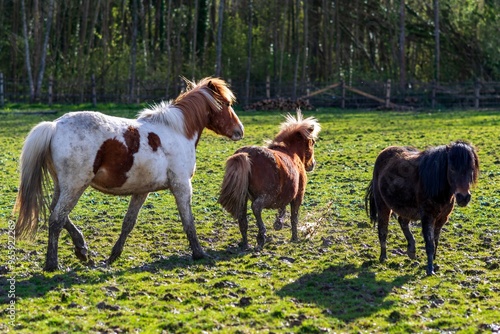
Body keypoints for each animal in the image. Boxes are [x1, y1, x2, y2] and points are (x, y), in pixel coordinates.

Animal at [13, 76, 244, 272]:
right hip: (75, 186)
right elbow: (188, 221)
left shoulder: (142, 191)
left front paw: (113, 255)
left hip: (63, 186)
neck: (177, 131)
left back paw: (81, 249)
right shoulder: (182, 186)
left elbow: (128, 223)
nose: (239, 130)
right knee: (56, 218)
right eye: (226, 104)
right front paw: (198, 253)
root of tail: (54, 126)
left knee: (56, 212)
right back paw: (52, 264)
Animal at [218, 111, 320, 249]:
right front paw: (294, 237)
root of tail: (246, 154)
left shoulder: (285, 195)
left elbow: (282, 208)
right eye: (312, 142)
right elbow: (294, 217)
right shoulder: (298, 195)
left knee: (243, 220)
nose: (312, 164)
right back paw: (261, 236)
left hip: (243, 198)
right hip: (267, 196)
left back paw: (245, 243)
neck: (291, 152)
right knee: (256, 207)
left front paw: (278, 223)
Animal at [366, 140, 478, 274]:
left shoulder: (442, 219)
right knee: (383, 229)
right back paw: (383, 256)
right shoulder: (427, 217)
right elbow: (429, 243)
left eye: (471, 168)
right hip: (383, 205)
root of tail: (384, 152)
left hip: (406, 208)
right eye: (452, 168)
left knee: (402, 221)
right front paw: (430, 269)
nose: (463, 197)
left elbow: (435, 241)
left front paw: (433, 262)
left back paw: (411, 250)